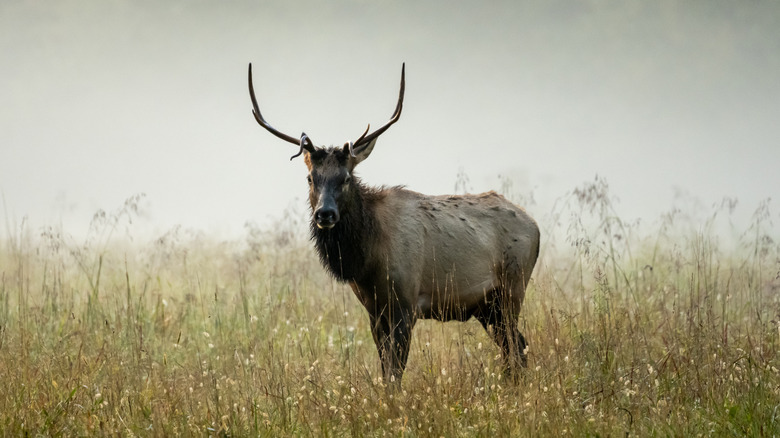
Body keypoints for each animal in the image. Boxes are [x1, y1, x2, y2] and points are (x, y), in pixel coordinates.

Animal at [248, 63, 540, 385]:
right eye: (311, 178)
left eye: (346, 178)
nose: (325, 214)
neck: (367, 259)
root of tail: (536, 227)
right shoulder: (373, 309)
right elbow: (385, 369)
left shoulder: (406, 302)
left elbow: (395, 373)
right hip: (487, 306)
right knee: (517, 346)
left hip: (512, 289)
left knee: (516, 346)